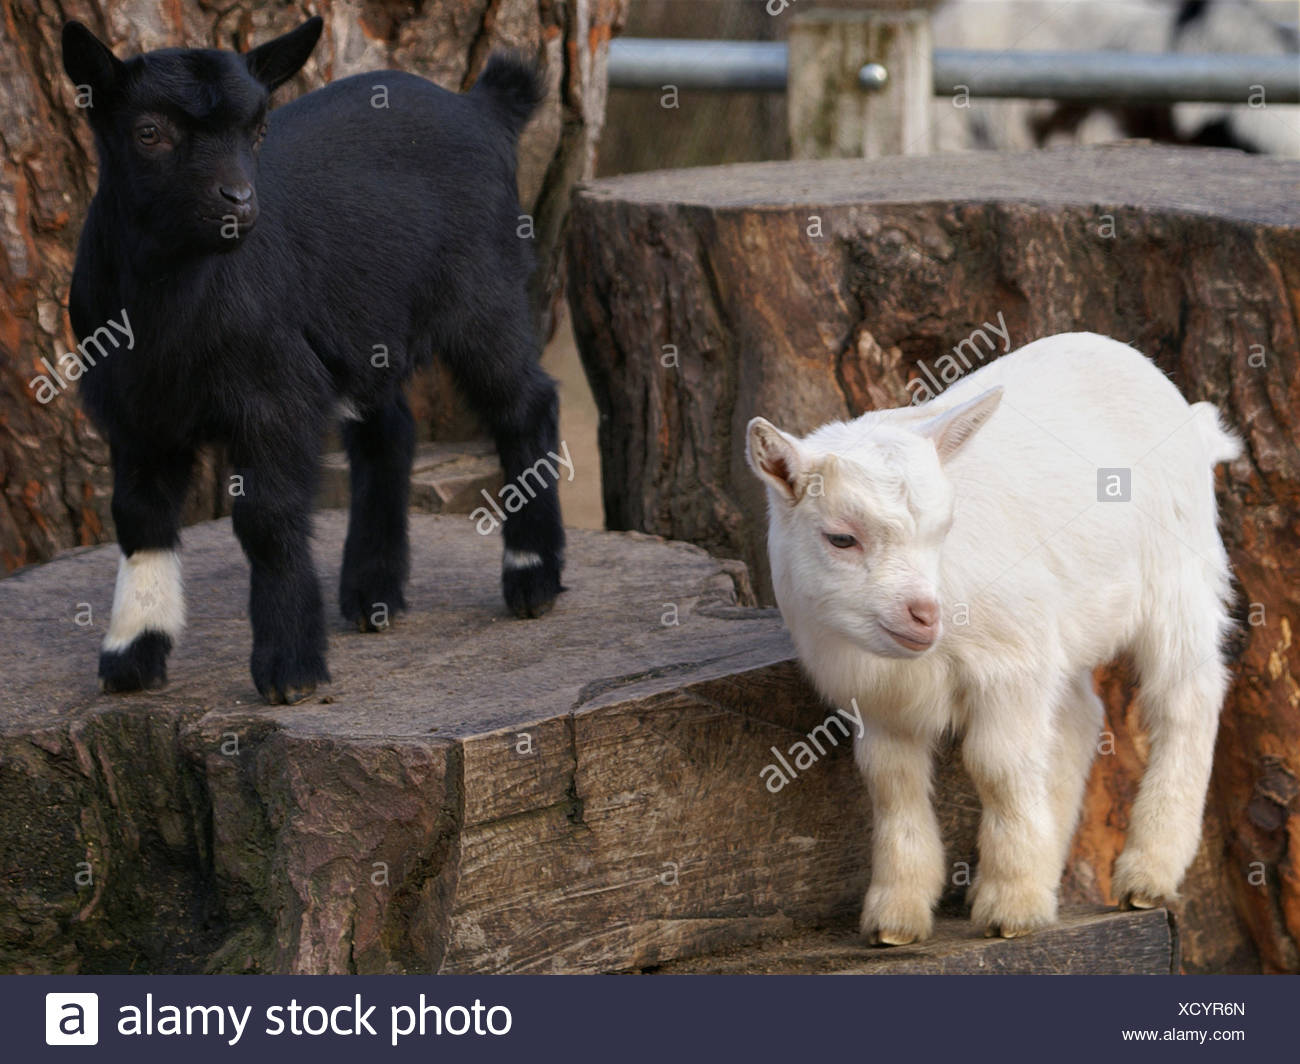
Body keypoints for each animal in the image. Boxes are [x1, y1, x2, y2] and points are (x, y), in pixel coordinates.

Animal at [61, 17, 565, 704]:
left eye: (258, 130)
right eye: (149, 132)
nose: (239, 201)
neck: (169, 299)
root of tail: (481, 107)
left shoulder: (273, 393)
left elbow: (267, 520)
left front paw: (290, 668)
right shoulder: (135, 408)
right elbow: (139, 520)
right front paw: (132, 653)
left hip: (486, 290)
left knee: (524, 404)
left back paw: (532, 575)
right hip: (365, 325)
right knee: (389, 432)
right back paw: (373, 593)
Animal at [747, 332, 1239, 942]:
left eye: (943, 529)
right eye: (841, 538)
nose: (924, 615)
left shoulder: (1010, 663)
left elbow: (997, 766)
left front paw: (1012, 906)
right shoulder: (878, 698)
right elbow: (891, 782)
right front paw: (897, 913)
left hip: (1178, 572)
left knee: (1185, 697)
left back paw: (1147, 872)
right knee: (1078, 719)